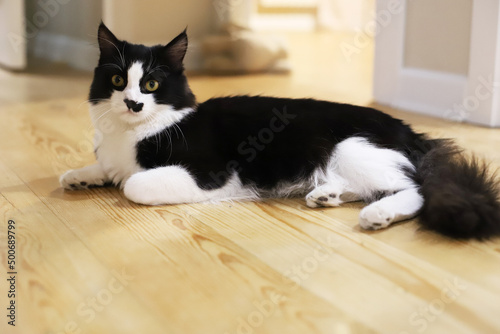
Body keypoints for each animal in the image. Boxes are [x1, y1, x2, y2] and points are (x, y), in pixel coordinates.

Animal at [60, 22, 498, 239]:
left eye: (150, 84)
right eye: (118, 81)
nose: (132, 103)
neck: (130, 132)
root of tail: (413, 134)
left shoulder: (210, 173)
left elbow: (134, 184)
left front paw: (116, 179)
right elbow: (101, 168)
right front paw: (79, 176)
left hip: (350, 147)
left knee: (414, 189)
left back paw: (377, 215)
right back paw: (326, 194)